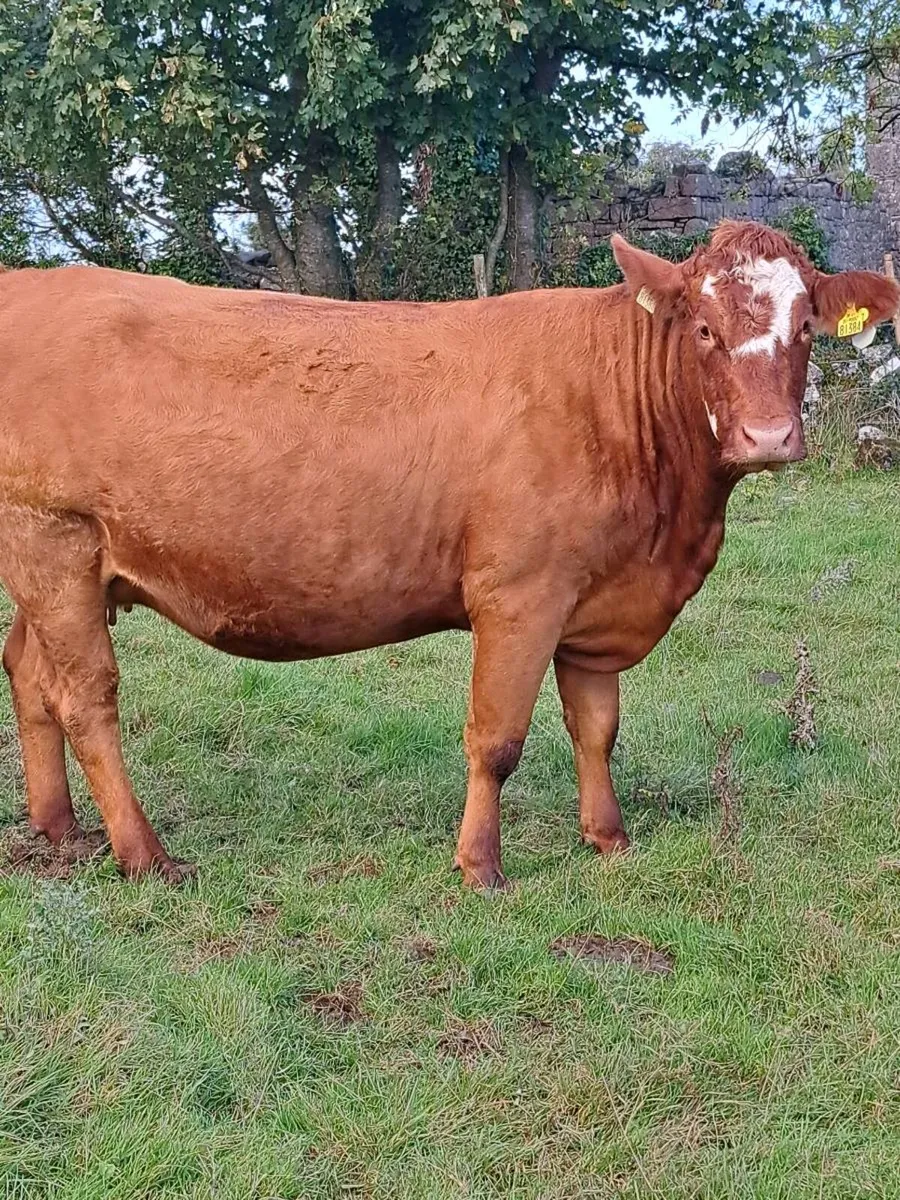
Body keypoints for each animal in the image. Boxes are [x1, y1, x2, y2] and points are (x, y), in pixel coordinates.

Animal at [0, 221, 896, 887]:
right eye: (705, 328)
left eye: (807, 328)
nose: (769, 437)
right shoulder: (519, 593)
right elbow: (496, 739)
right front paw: (480, 867)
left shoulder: (594, 602)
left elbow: (597, 727)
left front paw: (608, 840)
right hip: (55, 540)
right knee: (86, 700)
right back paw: (144, 855)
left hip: (51, 569)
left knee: (29, 674)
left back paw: (61, 830)